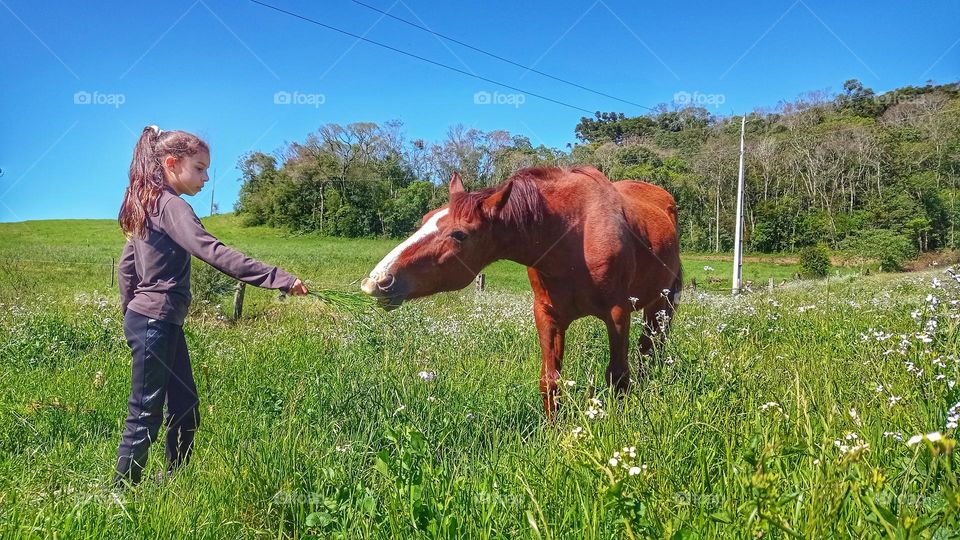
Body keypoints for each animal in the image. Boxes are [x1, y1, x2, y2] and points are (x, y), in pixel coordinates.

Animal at [360, 166, 682, 417]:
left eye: (459, 234)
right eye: (426, 218)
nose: (377, 280)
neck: (574, 236)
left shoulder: (617, 314)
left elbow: (618, 376)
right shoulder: (547, 315)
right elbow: (550, 381)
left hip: (661, 306)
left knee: (650, 350)